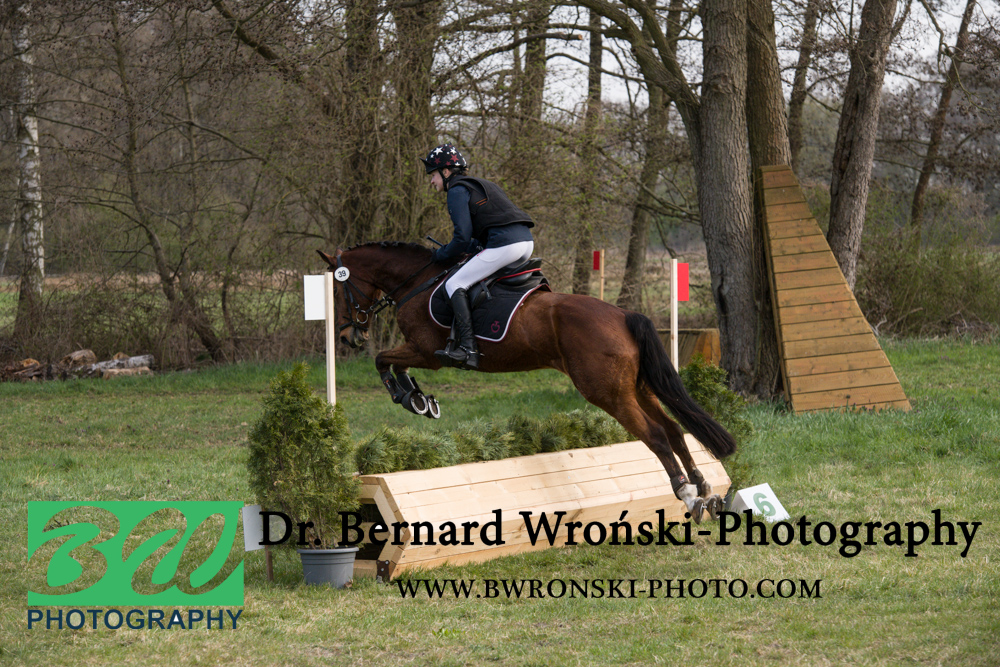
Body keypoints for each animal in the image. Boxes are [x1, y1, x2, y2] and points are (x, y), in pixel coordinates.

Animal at [319, 242, 736, 522]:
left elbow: (383, 360)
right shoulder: (420, 351)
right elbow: (389, 361)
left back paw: (687, 495)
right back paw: (705, 491)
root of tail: (623, 315)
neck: (419, 282)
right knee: (674, 429)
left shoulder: (426, 351)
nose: (347, 337)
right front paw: (419, 399)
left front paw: (408, 397)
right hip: (636, 387)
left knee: (656, 435)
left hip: (607, 393)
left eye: (340, 290)